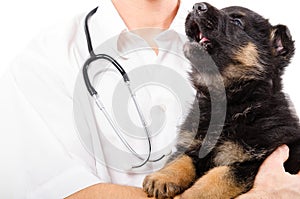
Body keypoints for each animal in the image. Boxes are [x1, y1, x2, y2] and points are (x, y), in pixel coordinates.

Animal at [142, 1, 300, 199]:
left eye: (237, 22)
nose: (196, 6)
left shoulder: (249, 163)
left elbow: (217, 178)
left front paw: (191, 195)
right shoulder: (193, 146)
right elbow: (180, 159)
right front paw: (163, 177)